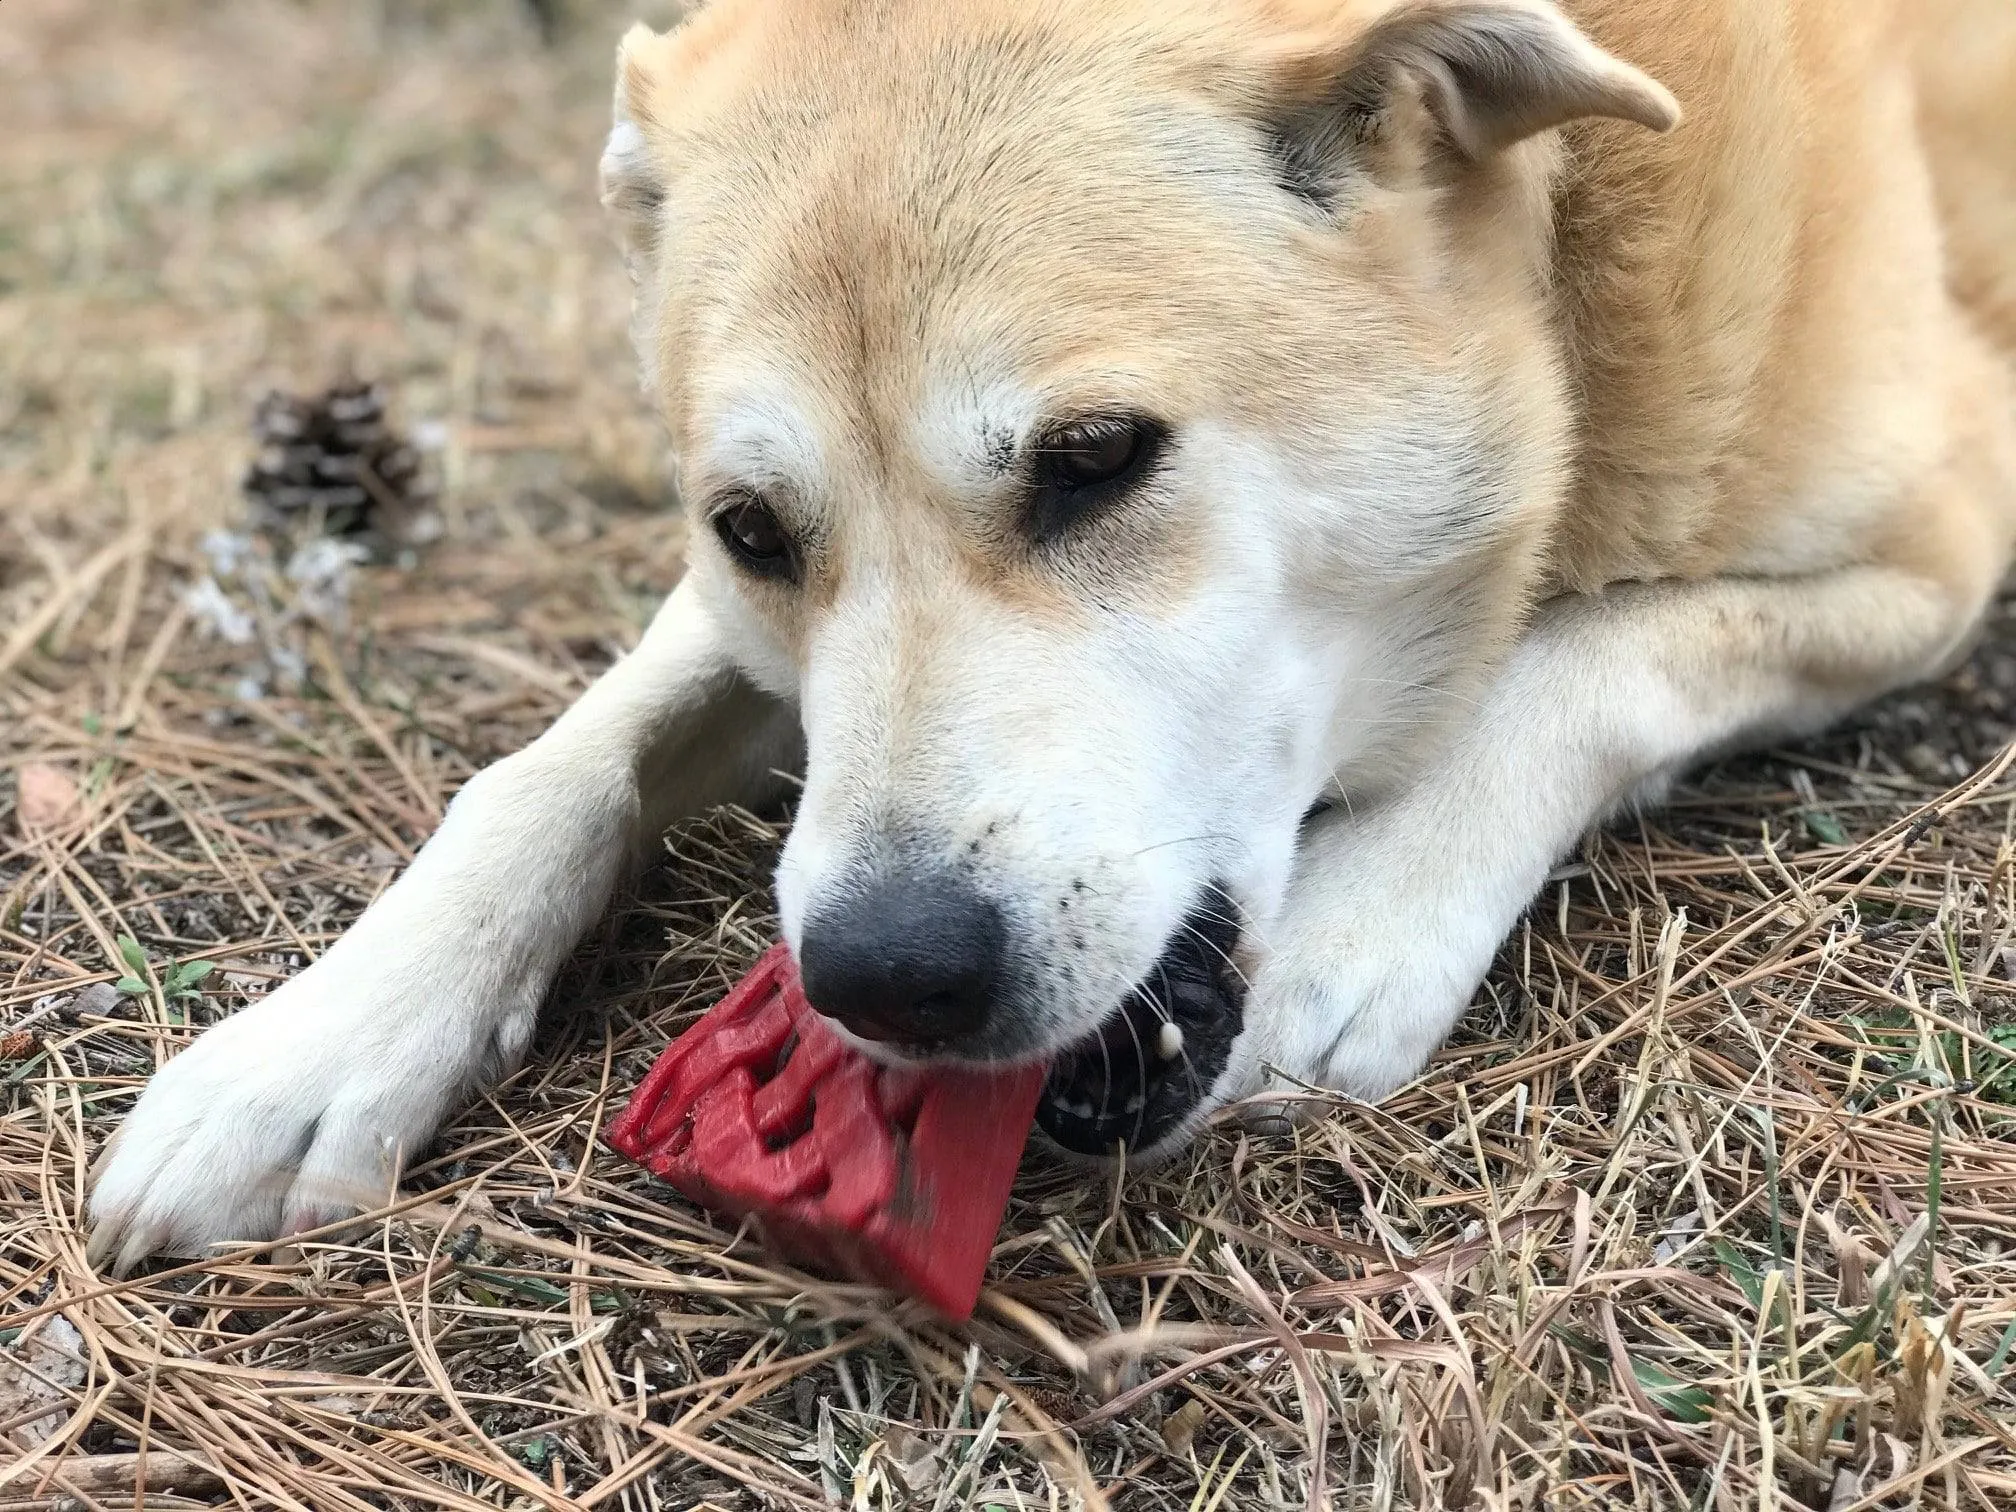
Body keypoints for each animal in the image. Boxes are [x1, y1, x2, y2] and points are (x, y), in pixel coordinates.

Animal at [86, 0, 2016, 1274]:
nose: (884, 975)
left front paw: (1371, 910)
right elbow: (554, 767)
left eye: (1096, 458)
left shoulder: (1932, 540)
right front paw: (318, 1038)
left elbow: (1592, 660)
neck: (1569, 291)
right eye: (751, 532)